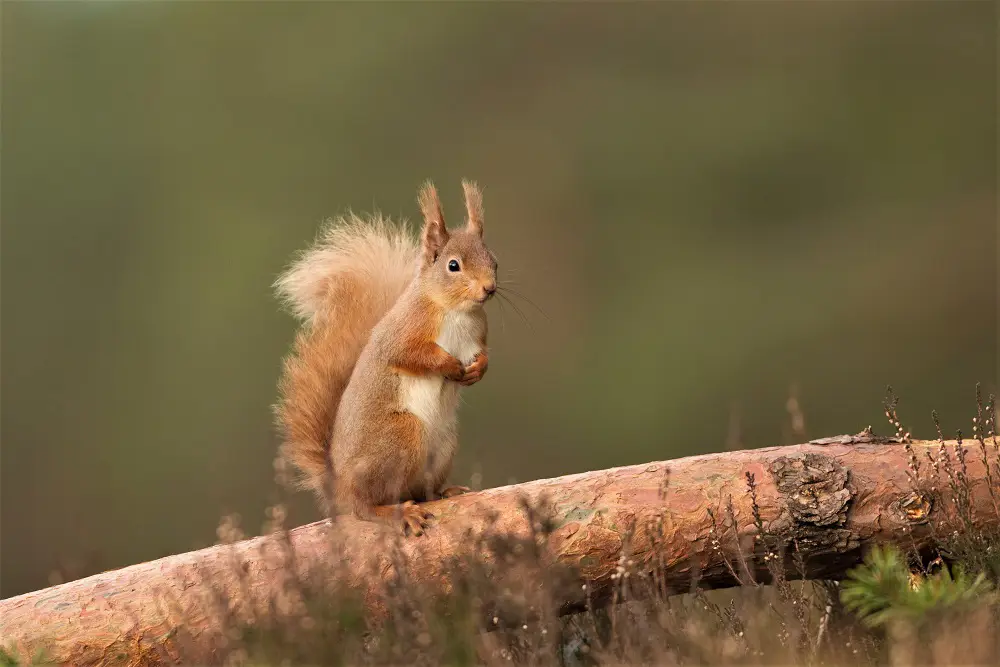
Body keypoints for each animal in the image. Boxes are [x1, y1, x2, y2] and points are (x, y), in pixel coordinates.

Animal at [274, 181, 496, 536]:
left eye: (494, 261)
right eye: (453, 265)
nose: (489, 288)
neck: (456, 310)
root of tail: (340, 488)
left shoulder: (480, 334)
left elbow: (484, 355)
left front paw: (478, 369)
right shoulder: (403, 331)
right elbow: (408, 355)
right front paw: (449, 365)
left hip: (443, 444)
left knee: (419, 491)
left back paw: (444, 492)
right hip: (401, 436)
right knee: (366, 506)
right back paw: (396, 514)